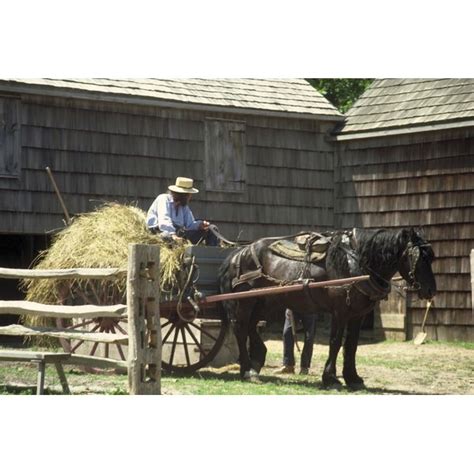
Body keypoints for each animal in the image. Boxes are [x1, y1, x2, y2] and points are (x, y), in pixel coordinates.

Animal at [218, 228, 436, 386]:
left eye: (431, 257)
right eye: (417, 258)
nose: (431, 290)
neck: (355, 263)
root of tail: (238, 253)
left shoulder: (357, 315)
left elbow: (352, 345)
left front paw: (352, 378)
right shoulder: (340, 312)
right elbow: (336, 342)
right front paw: (330, 377)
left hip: (262, 303)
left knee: (250, 327)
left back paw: (255, 363)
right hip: (244, 303)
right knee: (240, 329)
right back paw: (248, 371)